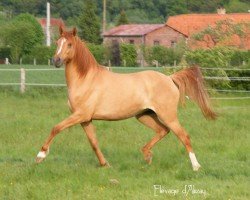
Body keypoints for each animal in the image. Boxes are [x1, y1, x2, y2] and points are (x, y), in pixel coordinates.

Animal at [35, 26, 217, 170]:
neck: (86, 79)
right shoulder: (86, 119)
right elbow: (93, 142)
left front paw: (41, 155)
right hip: (144, 115)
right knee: (162, 130)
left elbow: (56, 128)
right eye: (57, 43)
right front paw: (105, 164)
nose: (56, 60)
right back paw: (147, 155)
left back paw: (196, 166)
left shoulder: (80, 115)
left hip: (168, 115)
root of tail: (169, 78)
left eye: (70, 44)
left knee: (183, 136)